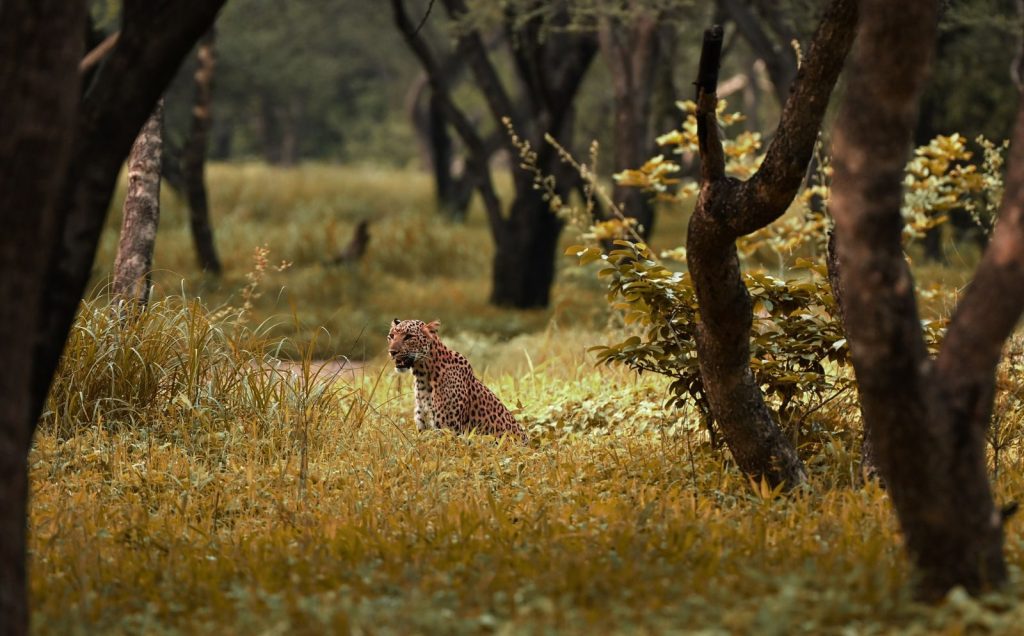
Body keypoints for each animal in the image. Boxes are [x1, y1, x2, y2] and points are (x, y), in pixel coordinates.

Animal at [387, 318, 528, 444]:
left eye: (409, 337)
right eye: (391, 336)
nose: (392, 352)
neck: (422, 376)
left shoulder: (449, 430)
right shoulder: (423, 427)